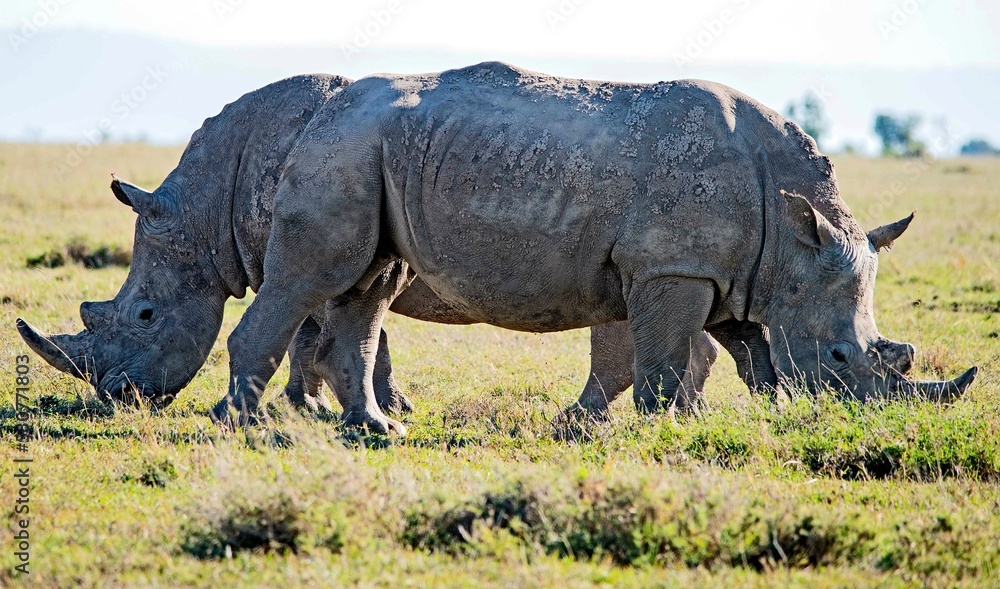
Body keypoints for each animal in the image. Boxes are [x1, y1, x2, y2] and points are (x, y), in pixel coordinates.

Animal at [17, 73, 744, 426]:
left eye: (144, 316)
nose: (119, 398)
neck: (207, 204)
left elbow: (316, 330)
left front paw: (319, 407)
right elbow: (343, 331)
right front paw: (359, 407)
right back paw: (683, 413)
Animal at [203, 62, 976, 432]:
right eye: (841, 358)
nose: (864, 415)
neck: (794, 229)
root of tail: (328, 105)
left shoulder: (732, 270)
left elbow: (751, 353)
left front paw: (764, 415)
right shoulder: (673, 266)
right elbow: (663, 358)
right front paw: (661, 430)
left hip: (364, 151)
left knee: (359, 289)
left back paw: (360, 426)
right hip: (346, 148)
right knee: (312, 279)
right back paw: (249, 426)